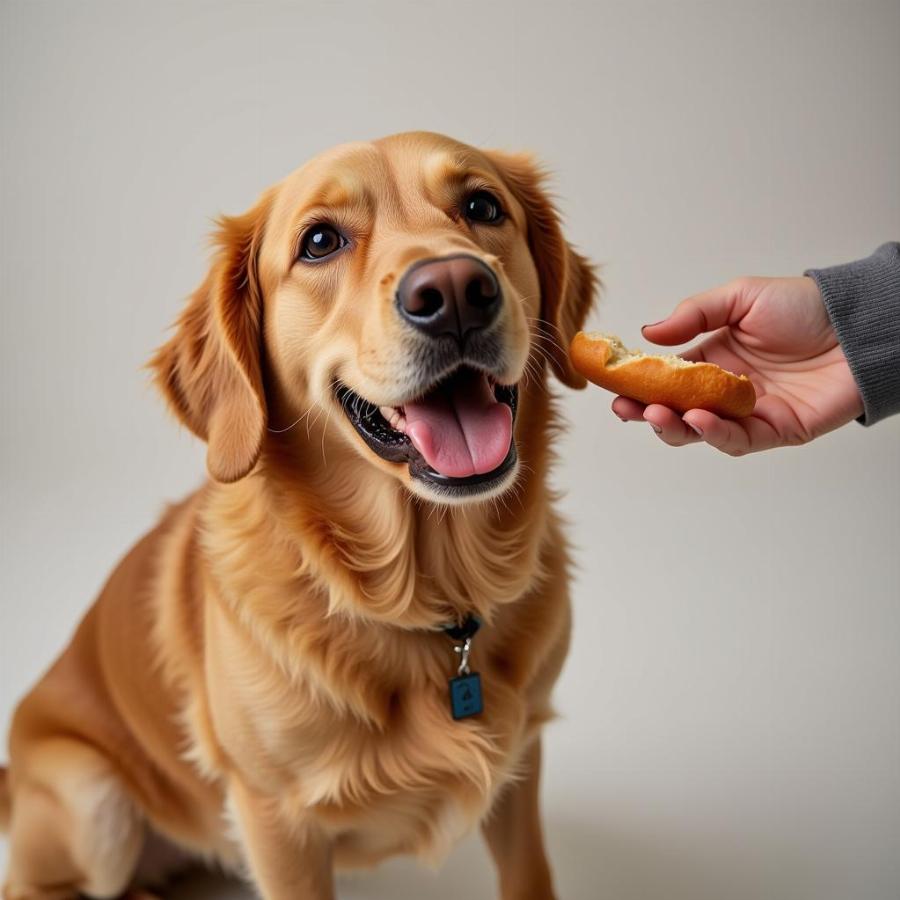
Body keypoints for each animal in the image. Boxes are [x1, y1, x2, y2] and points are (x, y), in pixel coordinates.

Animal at [1, 130, 596, 896]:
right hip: (91, 797)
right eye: (319, 241)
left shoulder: (521, 761)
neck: (427, 599)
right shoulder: (274, 821)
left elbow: (529, 872)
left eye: (482, 206)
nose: (456, 292)